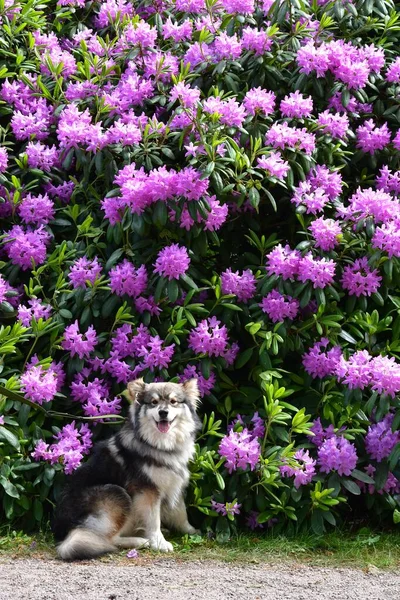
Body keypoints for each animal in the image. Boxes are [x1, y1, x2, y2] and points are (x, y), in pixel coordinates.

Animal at [52, 378, 202, 560]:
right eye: (153, 402)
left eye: (173, 401)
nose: (163, 412)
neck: (159, 444)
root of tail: (62, 531)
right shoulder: (148, 490)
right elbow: (153, 520)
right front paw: (159, 542)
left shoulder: (174, 482)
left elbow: (181, 513)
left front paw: (192, 531)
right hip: (117, 495)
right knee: (108, 539)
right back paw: (141, 541)